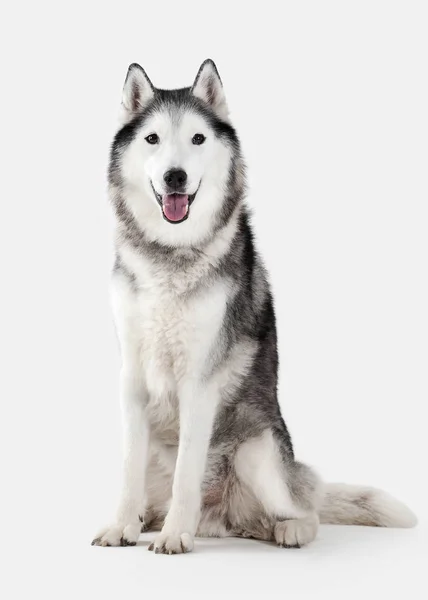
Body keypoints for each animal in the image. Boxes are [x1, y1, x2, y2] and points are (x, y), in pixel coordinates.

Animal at [92, 61, 416, 552]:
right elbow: (129, 470)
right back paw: (152, 520)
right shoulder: (132, 379)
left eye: (198, 138)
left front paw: (176, 536)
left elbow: (186, 473)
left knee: (304, 511)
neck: (172, 255)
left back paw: (284, 528)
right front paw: (121, 525)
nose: (175, 177)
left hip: (256, 451)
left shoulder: (199, 382)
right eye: (152, 138)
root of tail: (221, 519)